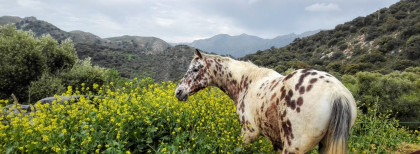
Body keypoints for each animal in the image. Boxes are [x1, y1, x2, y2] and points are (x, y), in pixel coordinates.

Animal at [176, 50, 356, 153]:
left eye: (195, 69)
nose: (178, 92)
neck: (246, 83)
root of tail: (336, 93)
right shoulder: (276, 142)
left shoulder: (248, 133)